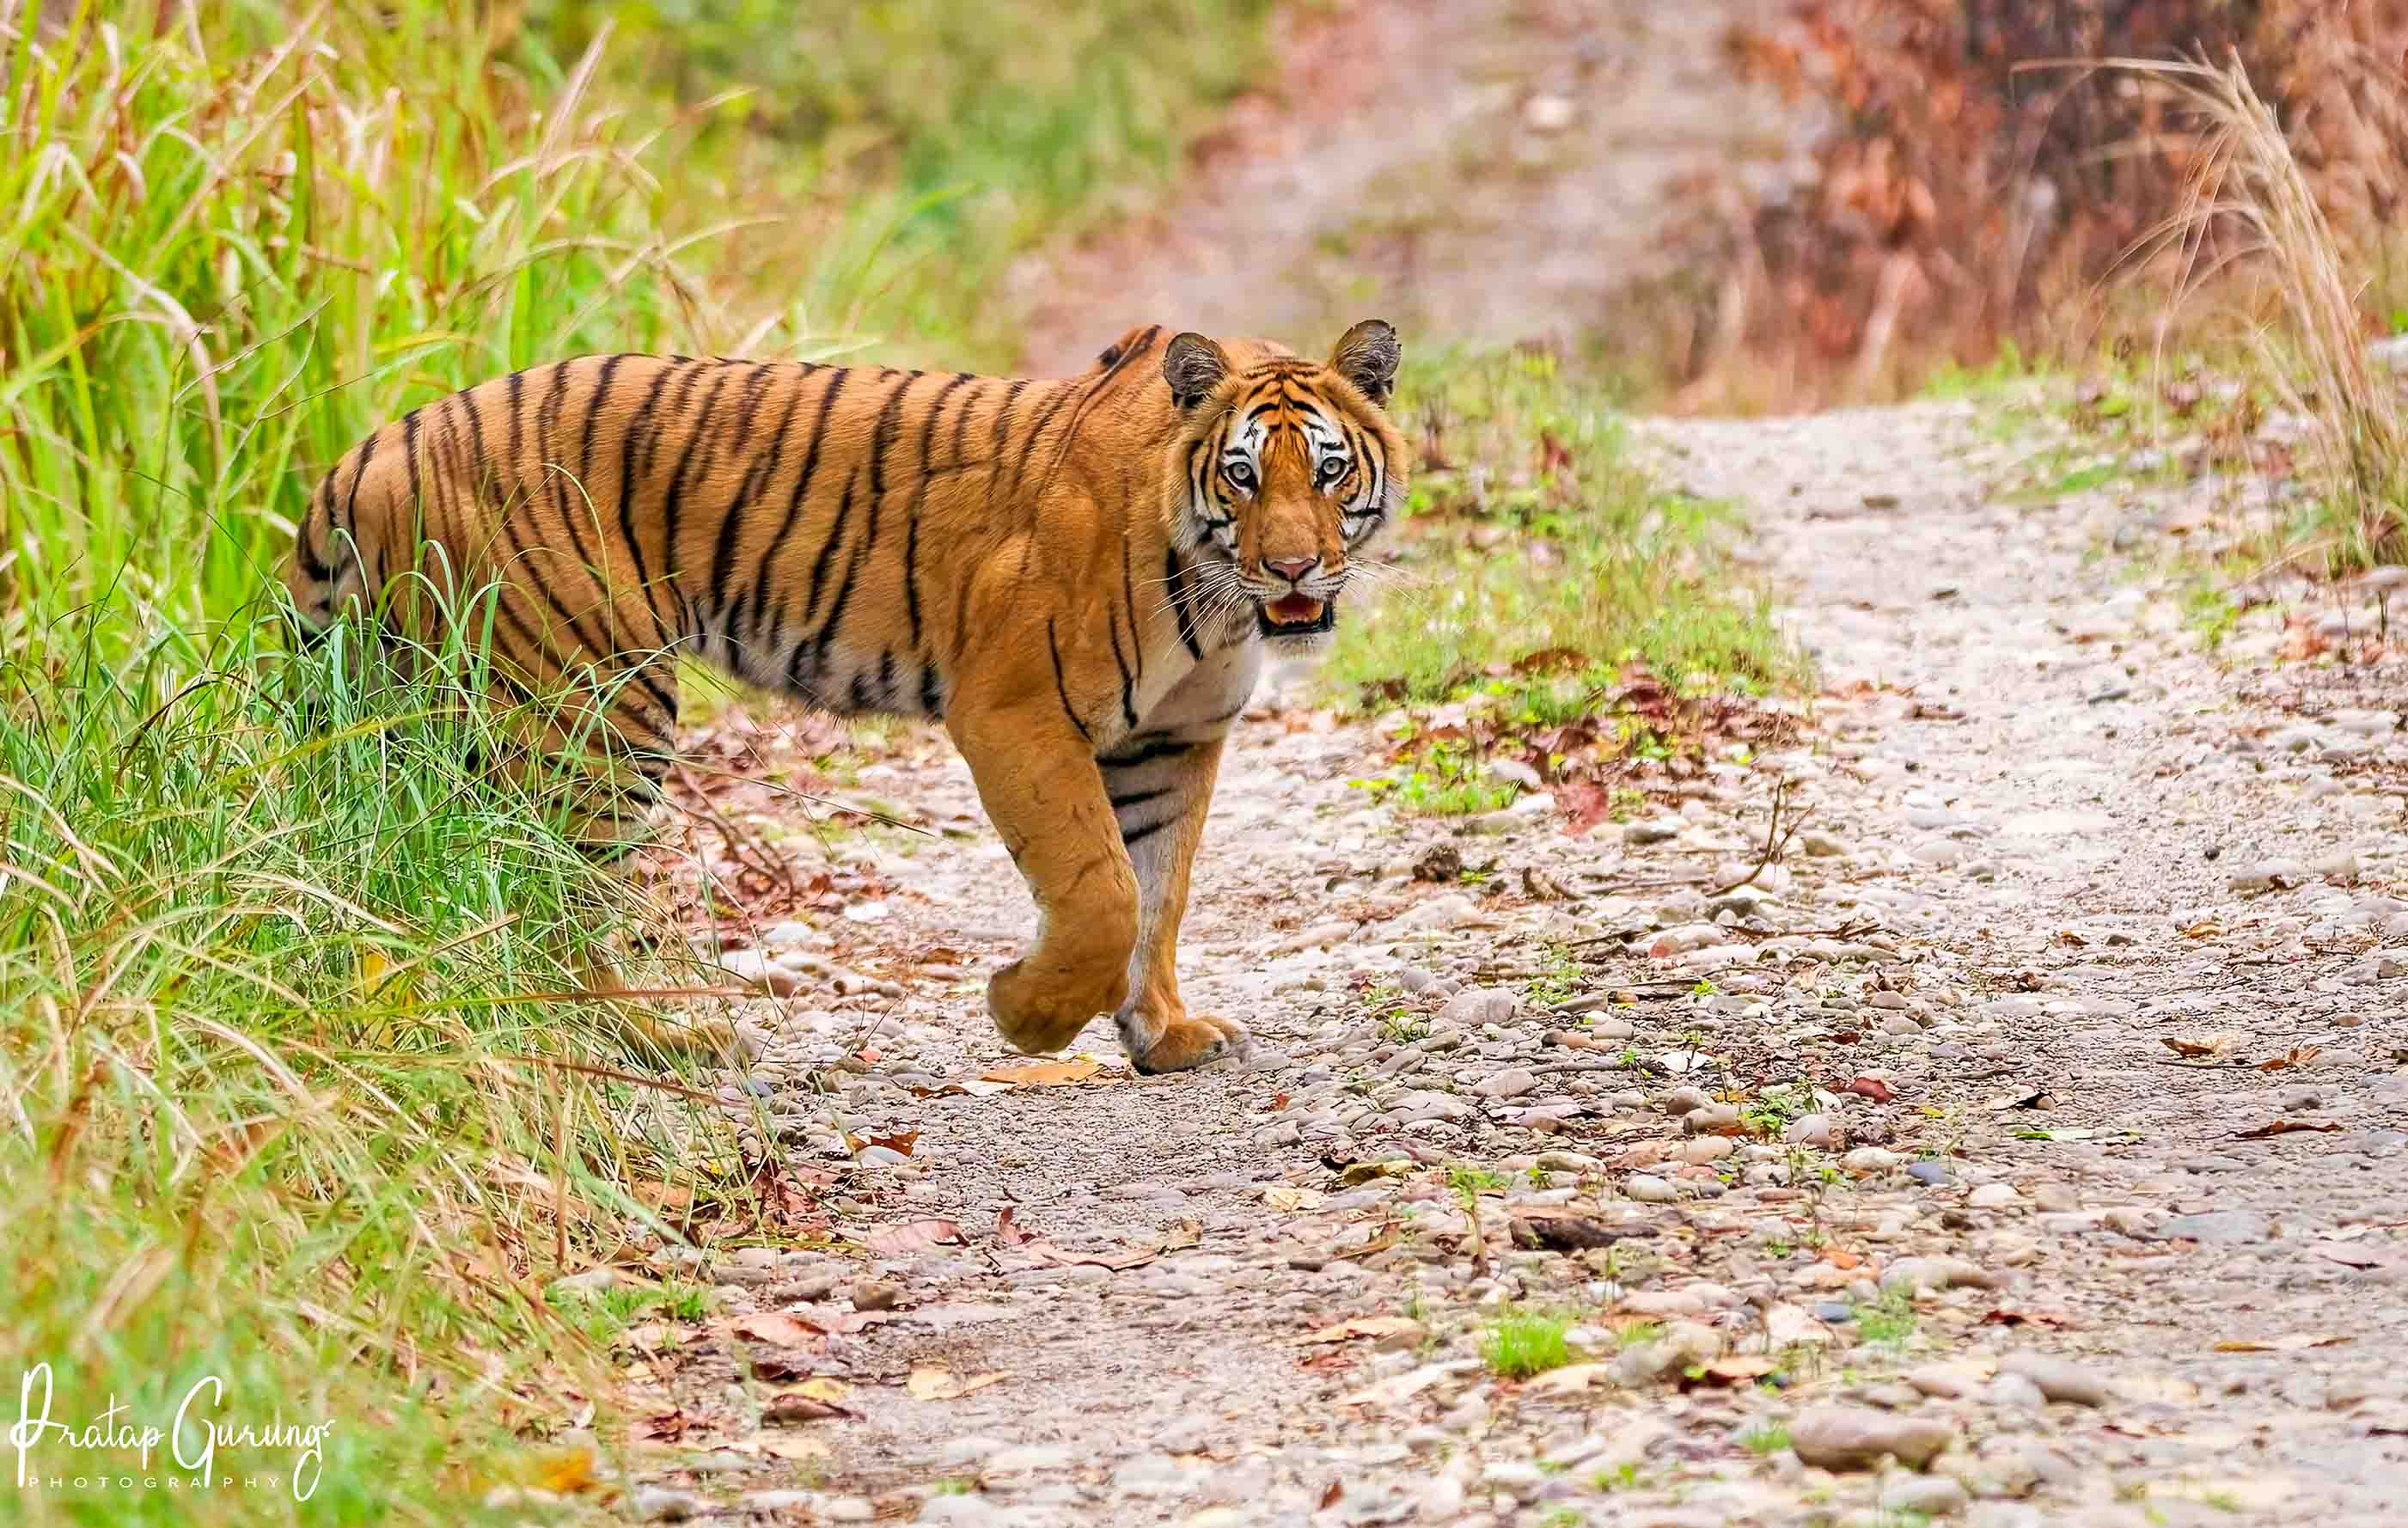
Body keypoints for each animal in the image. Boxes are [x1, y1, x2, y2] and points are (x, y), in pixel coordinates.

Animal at [283, 320, 1407, 1074]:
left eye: (1329, 472)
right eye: (1244, 477)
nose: (1295, 569)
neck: (1216, 597)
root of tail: (376, 447)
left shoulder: (1175, 739)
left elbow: (1159, 893)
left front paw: (1165, 1033)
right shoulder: (1015, 708)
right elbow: (1100, 891)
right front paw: (1024, 1015)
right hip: (594, 705)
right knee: (548, 895)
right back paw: (648, 1038)